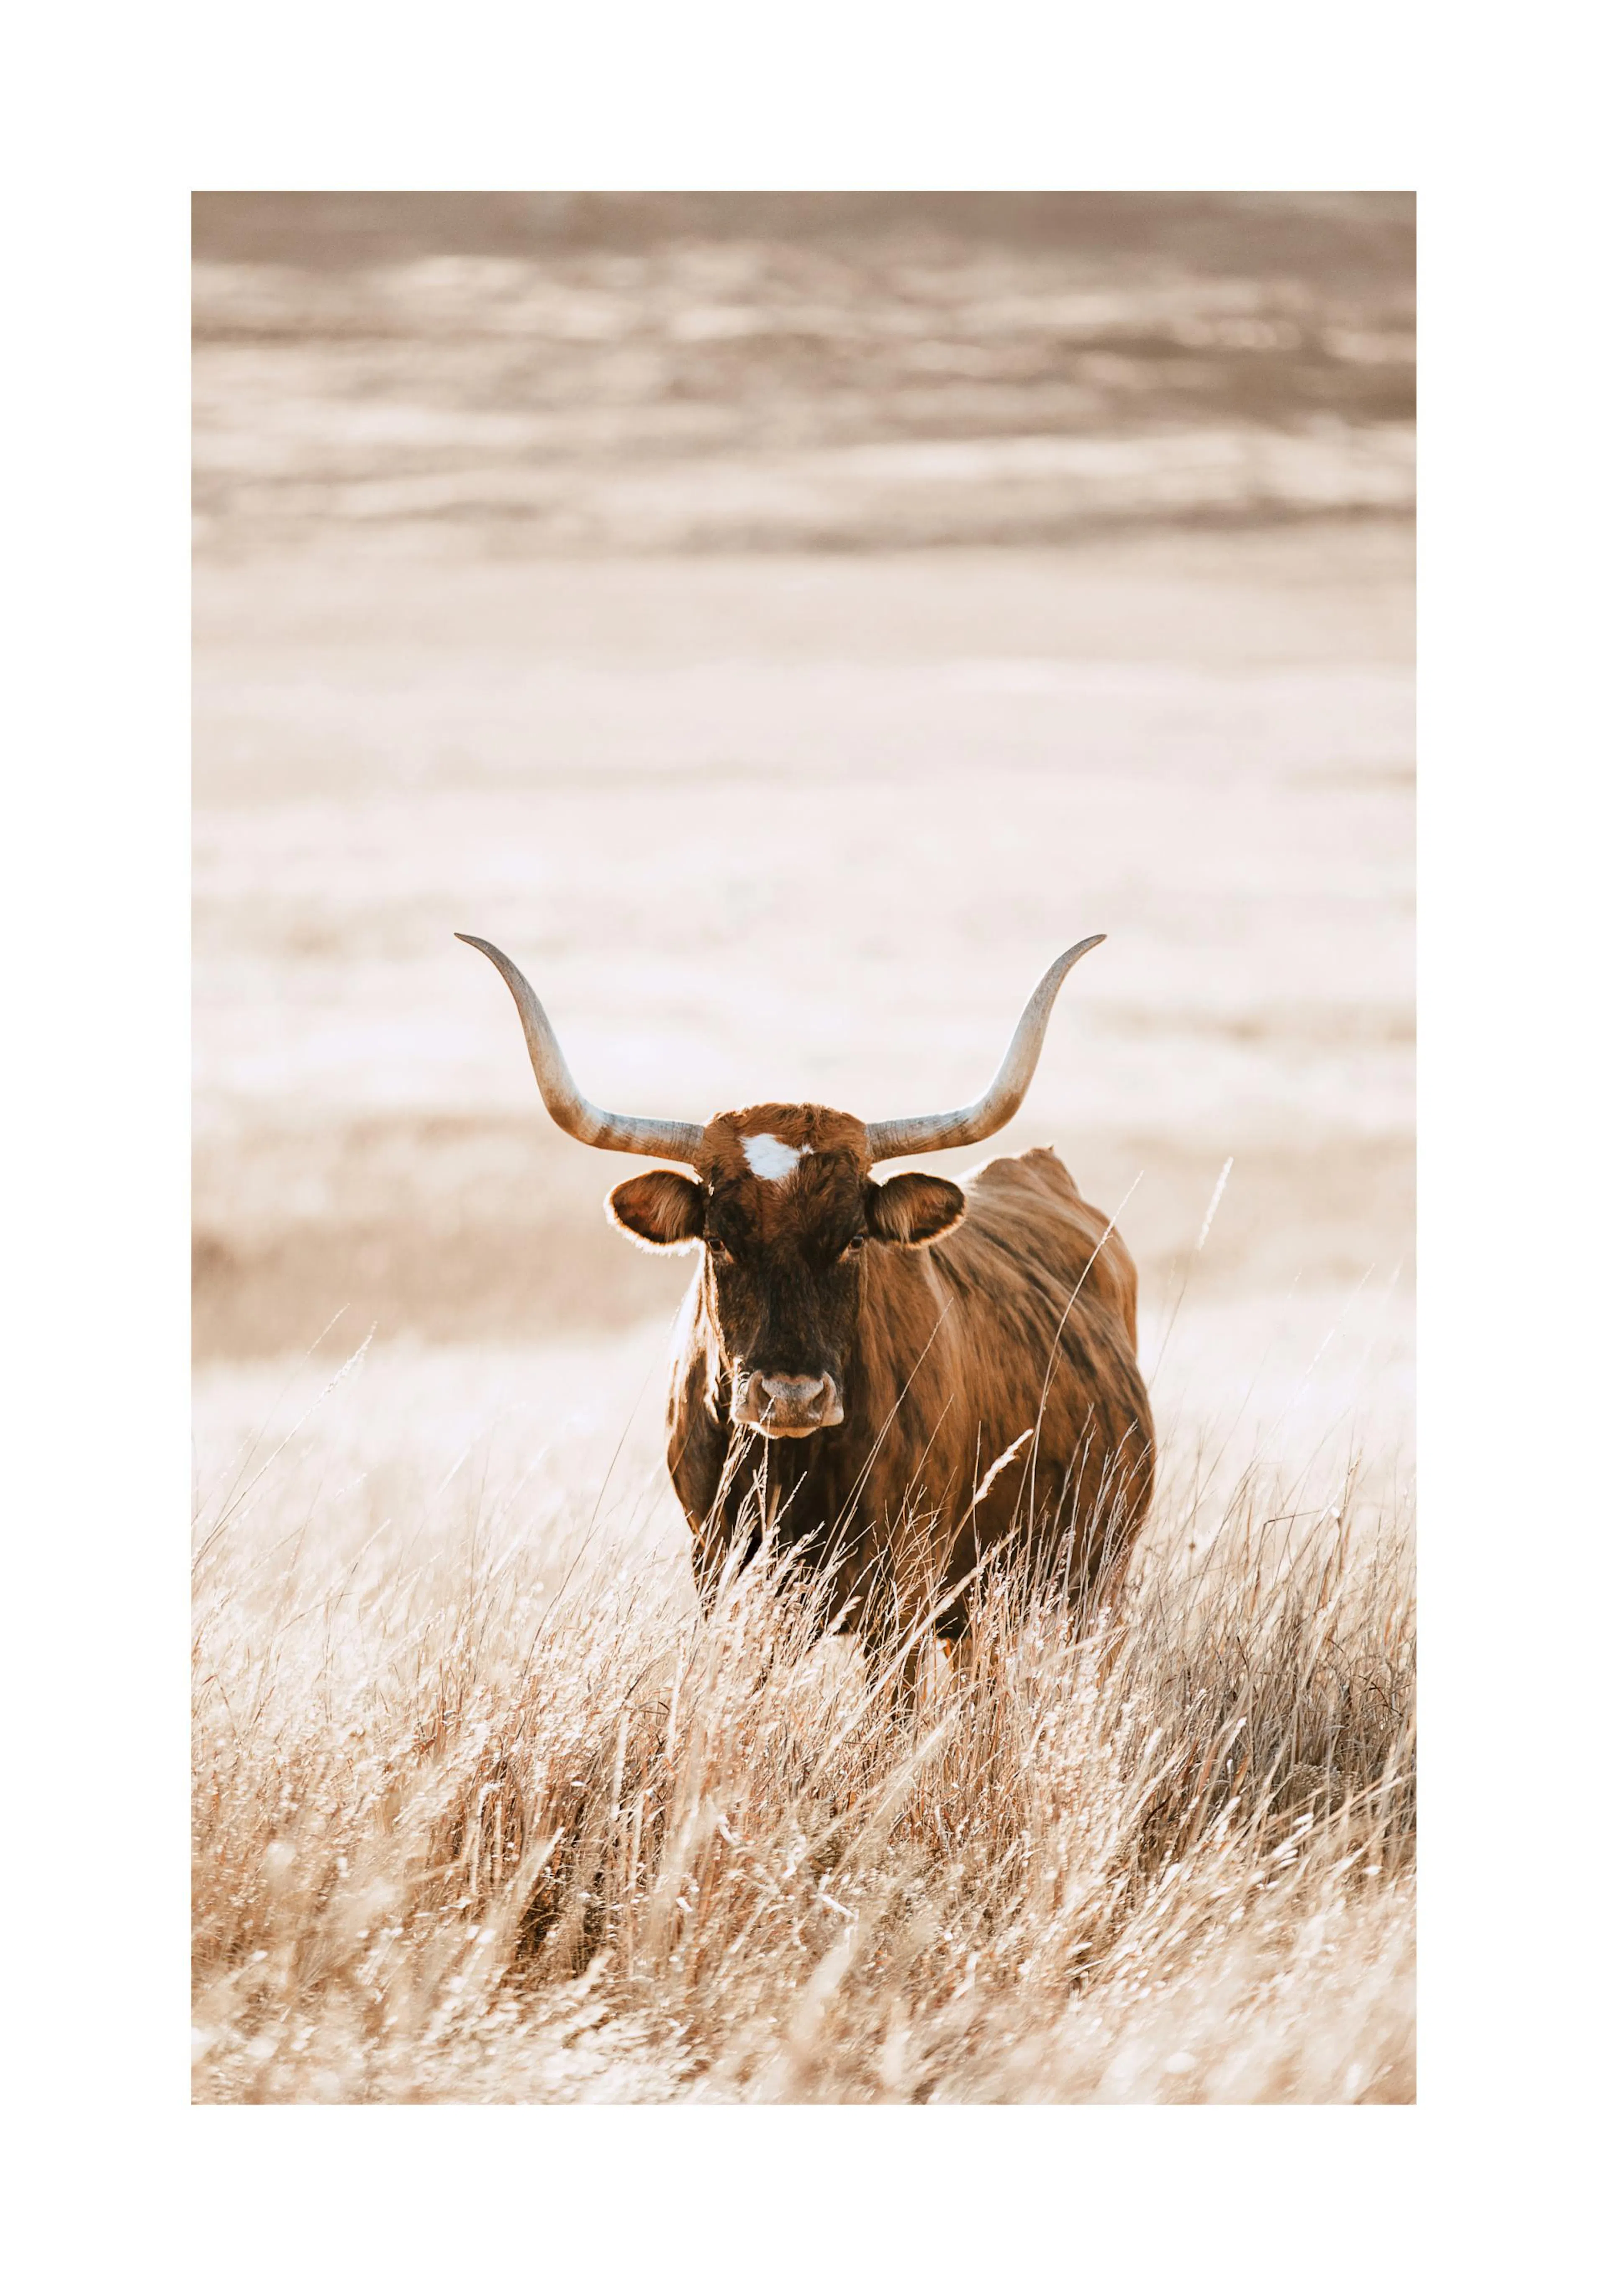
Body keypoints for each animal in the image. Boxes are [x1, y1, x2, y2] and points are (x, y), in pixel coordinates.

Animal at [459, 934, 1154, 1649]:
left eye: (855, 1238)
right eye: (718, 1239)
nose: (791, 1397)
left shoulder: (904, 1589)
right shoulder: (719, 1571)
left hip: (1089, 1584)